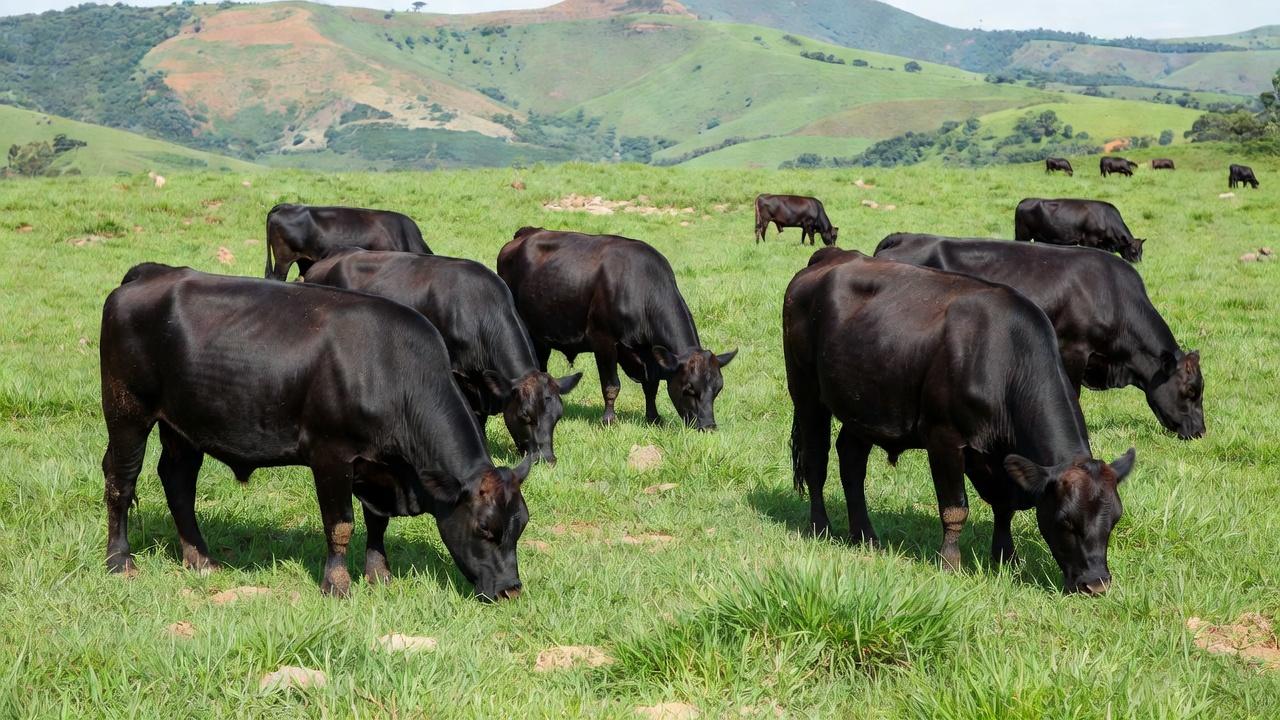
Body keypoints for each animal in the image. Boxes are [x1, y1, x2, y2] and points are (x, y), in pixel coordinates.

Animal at [100, 264, 530, 601]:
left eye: (521, 525)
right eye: (484, 528)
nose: (510, 589)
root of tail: (150, 273)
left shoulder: (378, 468)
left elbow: (377, 522)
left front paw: (379, 575)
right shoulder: (331, 455)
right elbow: (340, 524)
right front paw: (337, 585)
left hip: (183, 426)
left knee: (178, 482)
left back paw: (200, 558)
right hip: (126, 411)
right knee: (121, 482)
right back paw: (120, 560)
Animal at [498, 227, 736, 430]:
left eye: (718, 389)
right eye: (689, 388)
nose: (708, 427)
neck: (641, 288)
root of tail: (526, 232)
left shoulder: (647, 352)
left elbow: (651, 385)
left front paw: (653, 418)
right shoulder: (603, 341)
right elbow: (611, 385)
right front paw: (609, 420)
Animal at [784, 247, 1136, 595]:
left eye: (1115, 520)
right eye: (1065, 521)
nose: (1096, 584)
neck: (1004, 361)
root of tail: (833, 255)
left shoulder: (998, 458)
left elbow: (1004, 506)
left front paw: (1007, 558)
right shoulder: (944, 439)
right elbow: (955, 508)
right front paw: (950, 563)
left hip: (864, 407)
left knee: (852, 462)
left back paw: (865, 536)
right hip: (805, 391)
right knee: (816, 462)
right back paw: (820, 528)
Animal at [1014, 197, 1144, 263]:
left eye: (1141, 251)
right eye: (1133, 251)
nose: (1139, 264)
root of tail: (1023, 201)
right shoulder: (1089, 240)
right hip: (1022, 234)